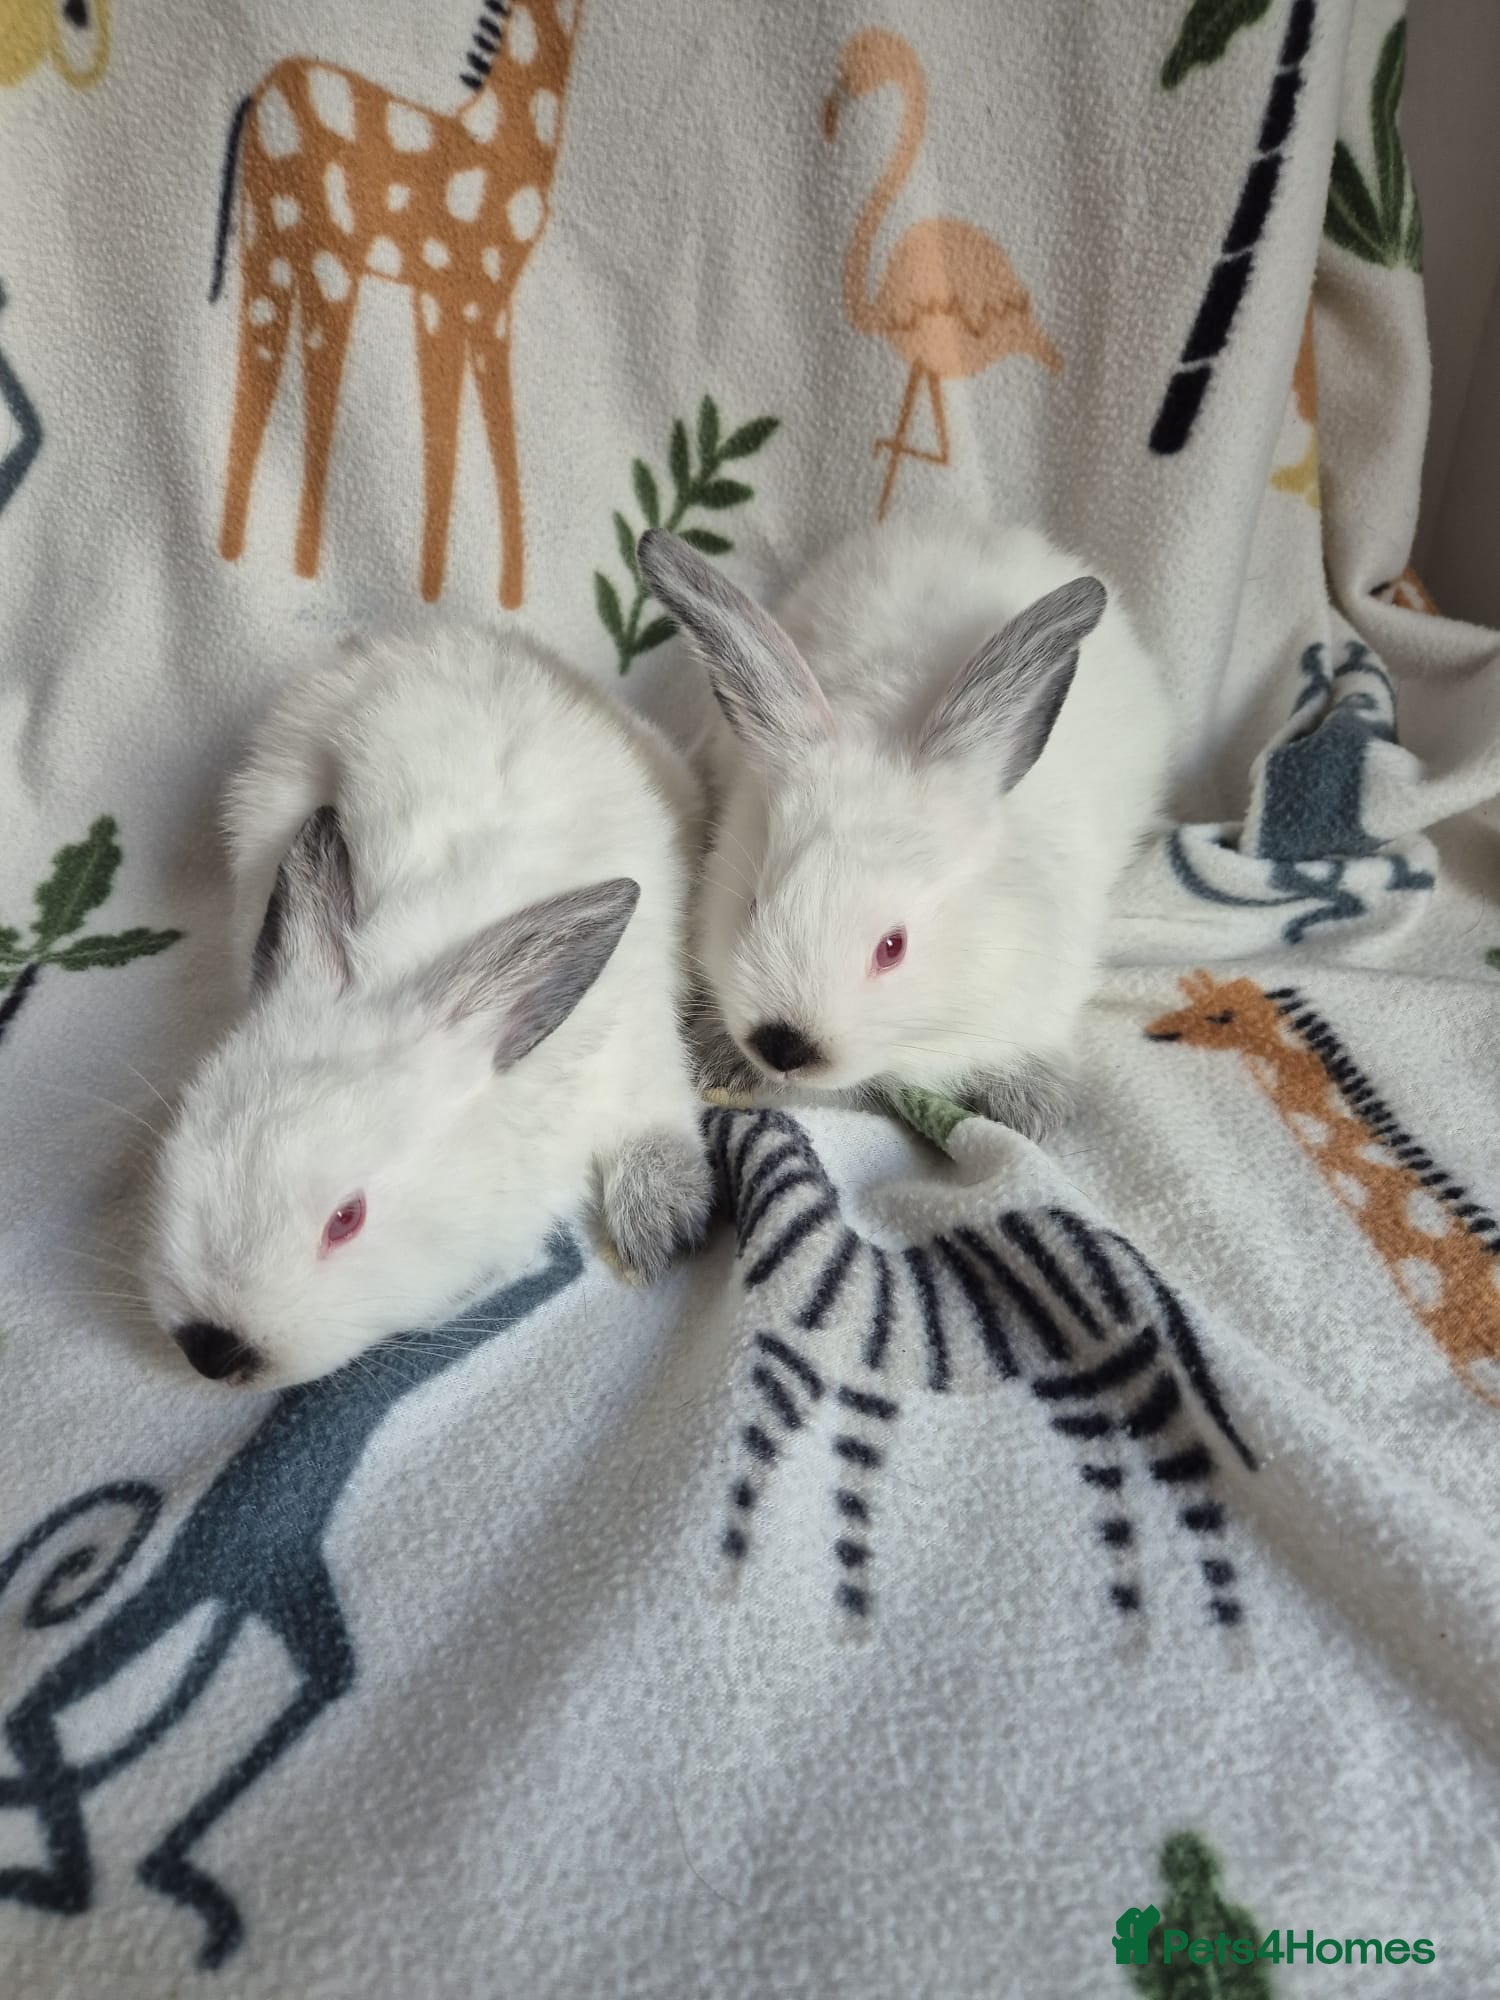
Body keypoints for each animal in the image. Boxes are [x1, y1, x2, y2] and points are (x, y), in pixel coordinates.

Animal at [145, 625, 712, 1389]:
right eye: (180, 1141)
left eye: (346, 1218)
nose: (211, 1349)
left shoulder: (638, 1057)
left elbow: (656, 1128)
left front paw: (660, 1231)